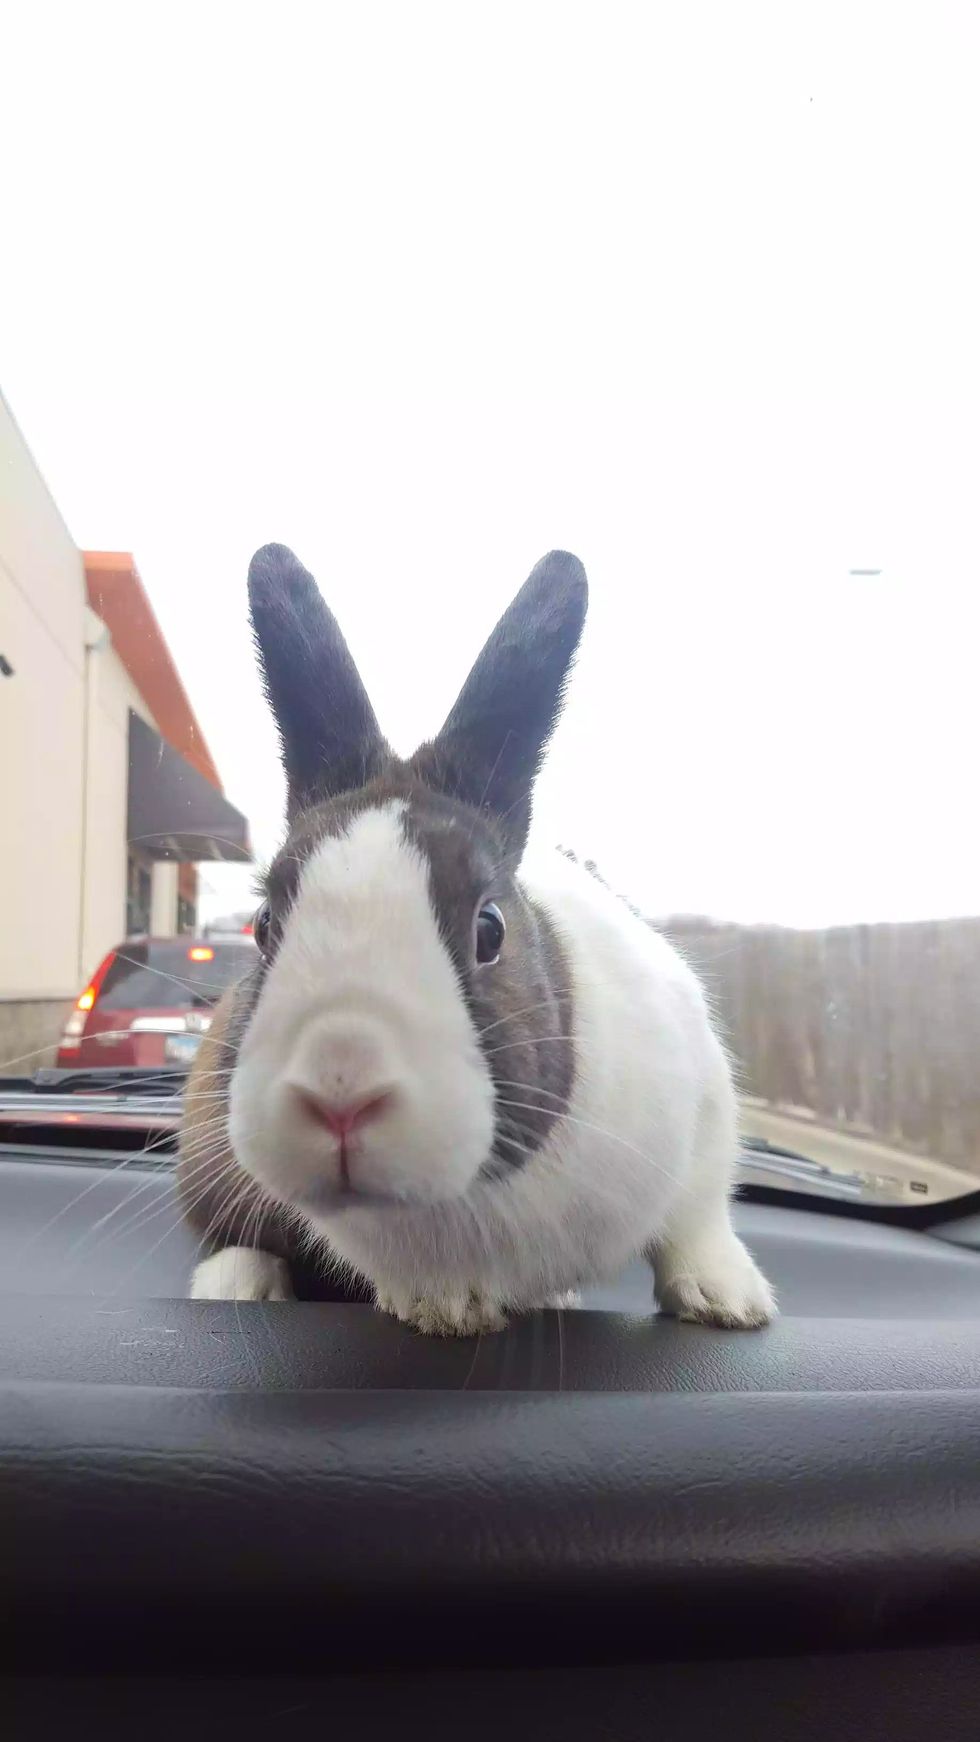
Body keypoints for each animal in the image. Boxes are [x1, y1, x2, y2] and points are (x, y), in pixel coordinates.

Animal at [181, 543, 775, 1336]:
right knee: (230, 1232)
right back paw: (238, 1285)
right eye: (265, 925)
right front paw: (448, 1309)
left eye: (488, 929)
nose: (341, 1094)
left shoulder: (704, 1115)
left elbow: (697, 1223)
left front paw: (729, 1302)